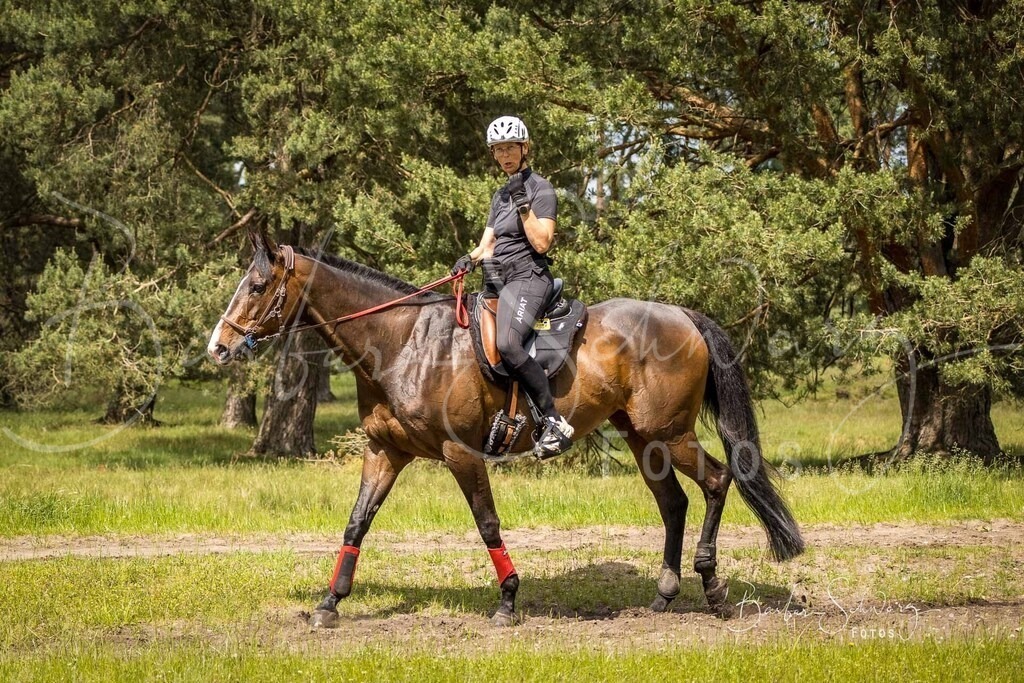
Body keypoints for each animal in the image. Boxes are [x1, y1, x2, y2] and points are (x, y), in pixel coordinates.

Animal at [207, 229, 804, 627]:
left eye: (257, 285)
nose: (218, 347)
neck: (402, 341)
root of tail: (682, 315)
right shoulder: (384, 453)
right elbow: (356, 524)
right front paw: (330, 603)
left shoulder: (461, 454)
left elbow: (488, 525)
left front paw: (509, 599)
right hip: (643, 438)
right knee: (674, 503)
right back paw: (664, 594)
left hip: (671, 433)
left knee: (717, 482)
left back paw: (714, 589)